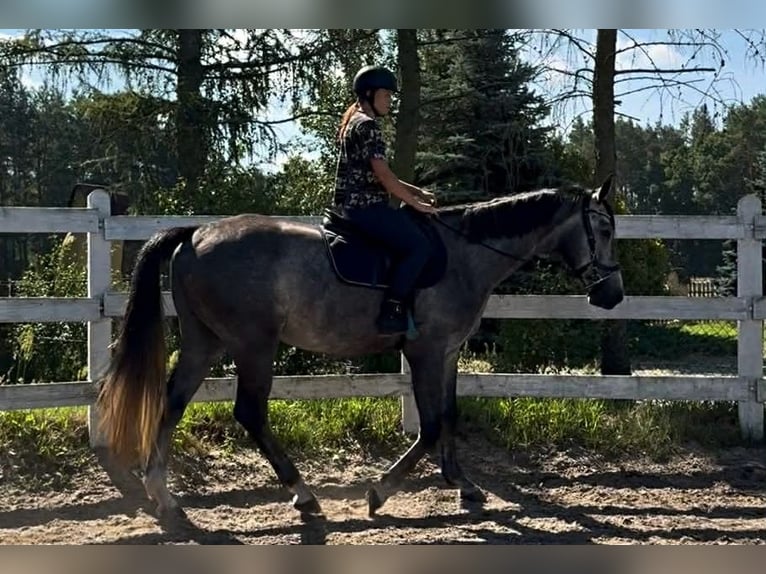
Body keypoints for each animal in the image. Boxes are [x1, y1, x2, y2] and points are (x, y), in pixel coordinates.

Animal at [96, 176, 624, 518]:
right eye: (603, 230)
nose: (612, 295)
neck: (465, 256)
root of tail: (196, 234)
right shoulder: (425, 351)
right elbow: (430, 426)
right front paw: (381, 491)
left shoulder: (449, 352)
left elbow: (449, 416)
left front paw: (463, 485)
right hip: (253, 344)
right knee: (249, 412)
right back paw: (302, 493)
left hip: (204, 341)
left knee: (173, 401)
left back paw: (162, 494)